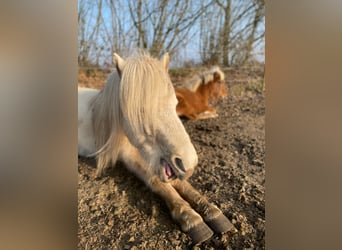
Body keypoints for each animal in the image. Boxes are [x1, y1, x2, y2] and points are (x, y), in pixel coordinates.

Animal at [78, 51, 232, 244]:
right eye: (140, 111)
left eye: (175, 104)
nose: (188, 162)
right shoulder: (128, 156)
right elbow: (156, 180)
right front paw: (190, 218)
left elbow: (181, 183)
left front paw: (211, 211)